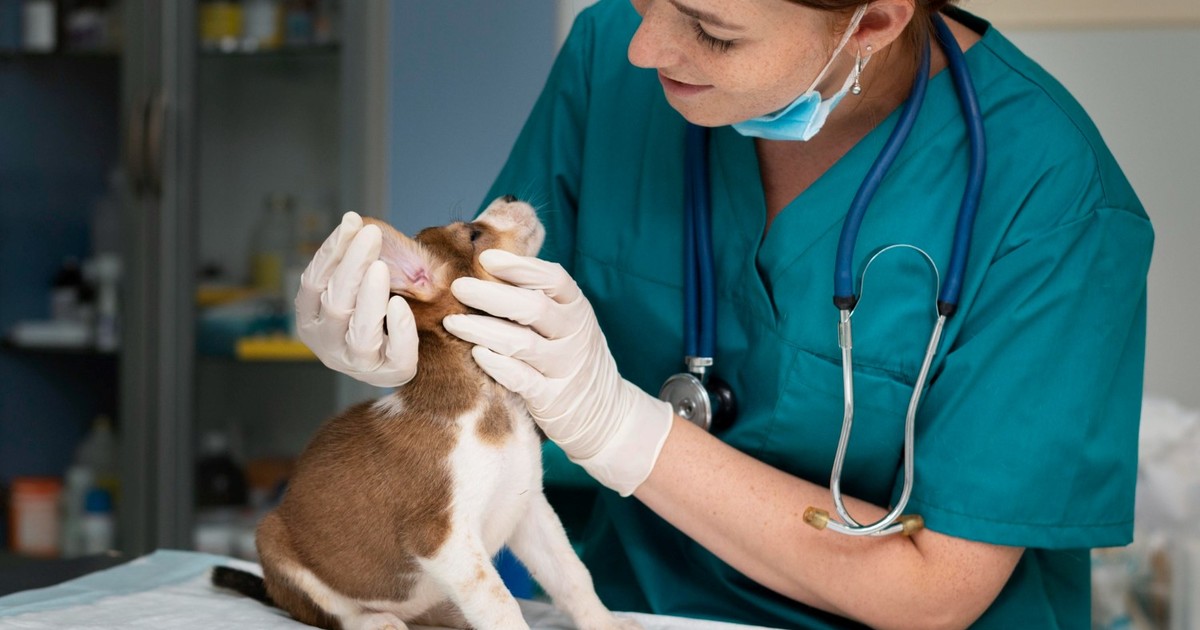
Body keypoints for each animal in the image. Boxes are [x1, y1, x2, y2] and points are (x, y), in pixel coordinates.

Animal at [212, 197, 638, 630]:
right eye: (474, 234)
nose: (509, 197)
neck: (492, 399)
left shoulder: (530, 510)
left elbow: (573, 576)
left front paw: (607, 623)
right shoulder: (443, 540)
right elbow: (502, 604)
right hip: (274, 542)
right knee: (335, 612)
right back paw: (377, 620)